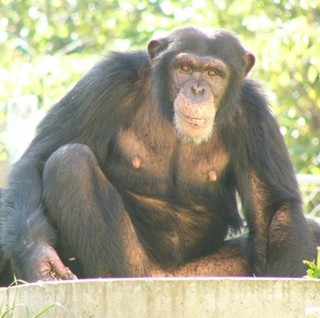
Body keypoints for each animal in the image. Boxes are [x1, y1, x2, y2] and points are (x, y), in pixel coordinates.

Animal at [0, 26, 316, 282]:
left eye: (213, 73)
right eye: (185, 68)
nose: (197, 89)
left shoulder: (254, 115)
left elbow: (271, 206)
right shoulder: (108, 82)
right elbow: (38, 160)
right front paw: (39, 259)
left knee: (311, 228)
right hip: (138, 267)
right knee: (69, 164)